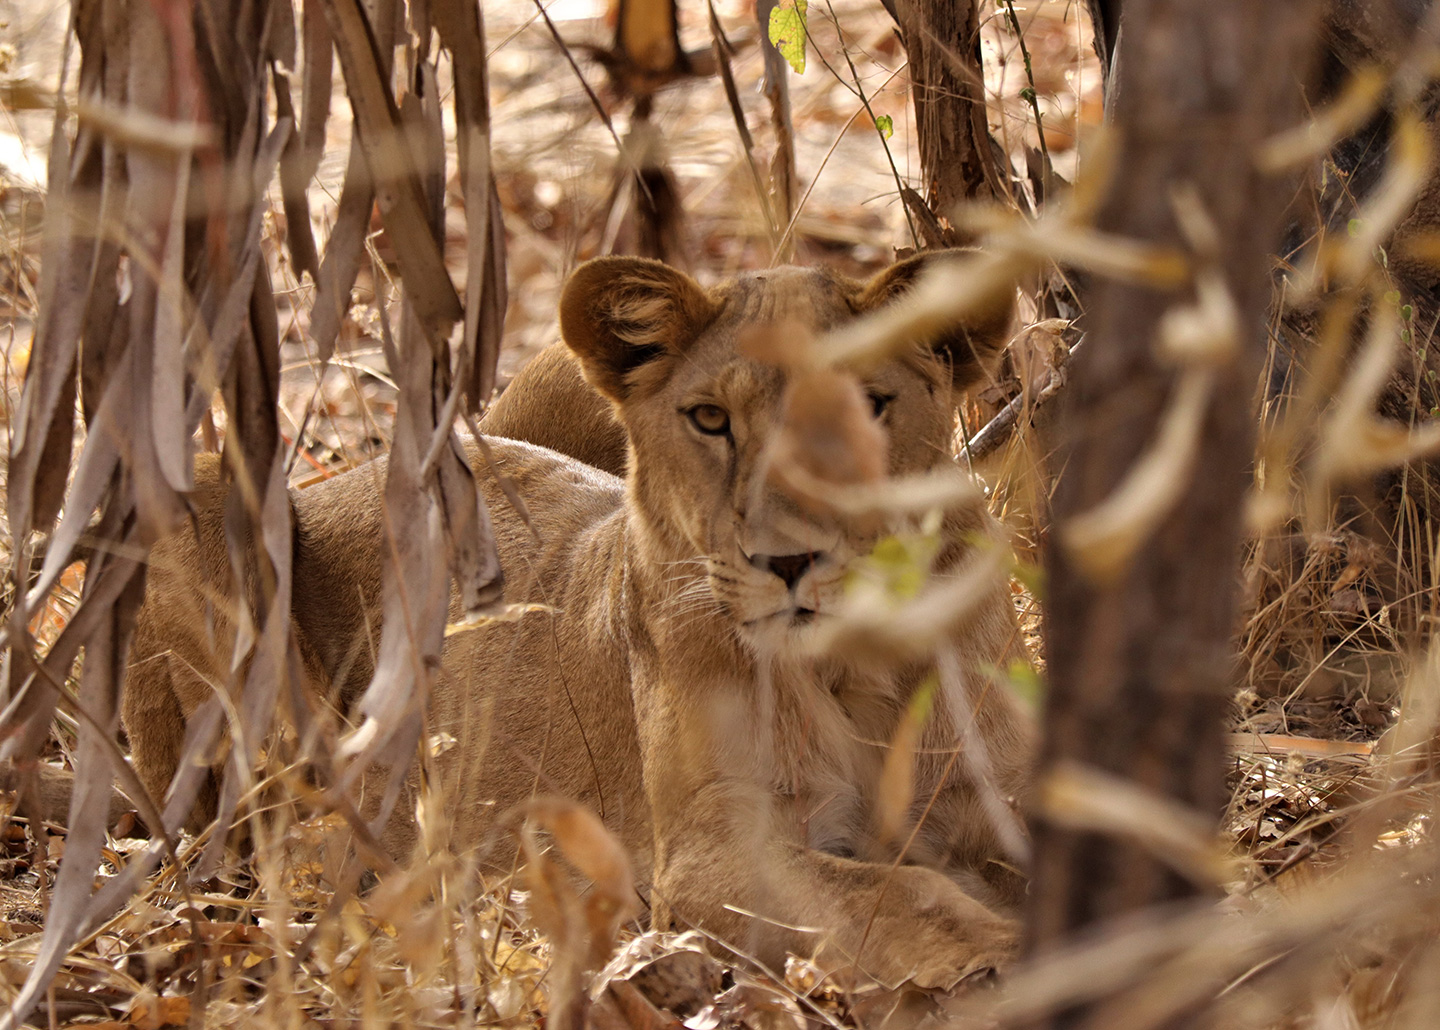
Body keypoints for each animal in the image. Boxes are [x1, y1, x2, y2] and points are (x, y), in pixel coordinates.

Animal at [115, 253, 1035, 989]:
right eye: (711, 420)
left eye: (868, 406)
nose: (788, 559)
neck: (858, 663)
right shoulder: (703, 856)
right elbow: (893, 891)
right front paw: (1003, 953)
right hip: (205, 498)